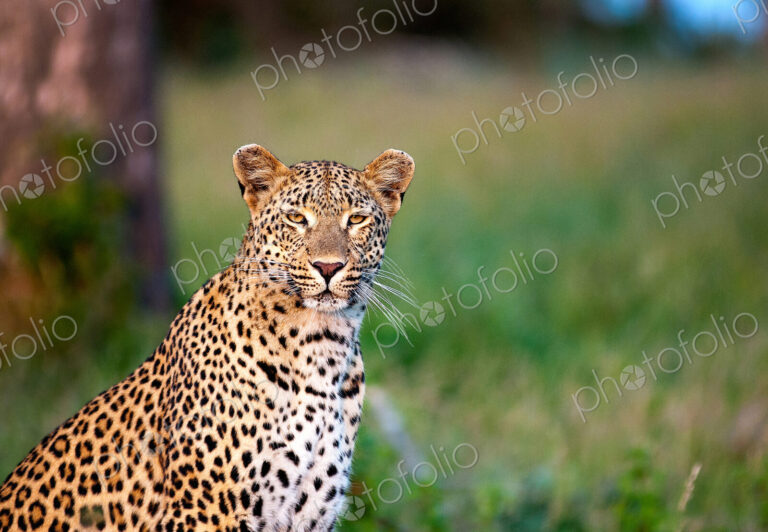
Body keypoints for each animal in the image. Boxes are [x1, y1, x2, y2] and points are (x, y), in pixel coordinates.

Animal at [0, 144, 415, 532]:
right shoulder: (205, 512)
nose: (328, 267)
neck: (322, 343)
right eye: (296, 218)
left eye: (357, 219)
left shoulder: (311, 516)